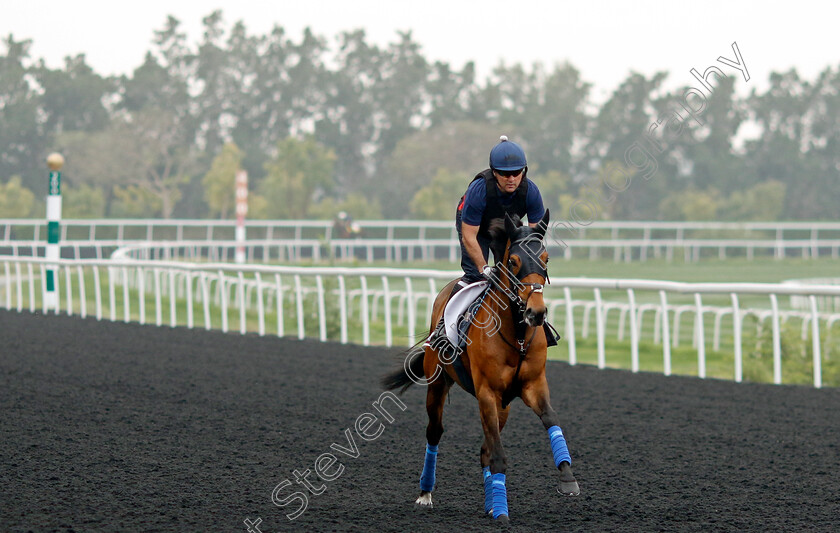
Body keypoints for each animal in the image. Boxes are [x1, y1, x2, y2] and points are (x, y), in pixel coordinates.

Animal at [380, 210, 576, 520]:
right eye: (513, 261)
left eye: (545, 258)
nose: (536, 312)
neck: (517, 335)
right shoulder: (487, 391)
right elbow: (497, 453)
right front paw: (502, 511)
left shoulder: (532, 384)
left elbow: (550, 418)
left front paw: (568, 477)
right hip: (438, 384)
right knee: (435, 432)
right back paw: (425, 492)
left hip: (503, 405)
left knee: (485, 447)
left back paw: (489, 502)